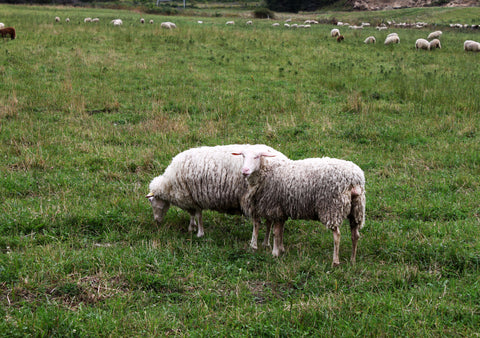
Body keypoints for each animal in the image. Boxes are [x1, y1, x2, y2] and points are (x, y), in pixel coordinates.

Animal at [146, 143, 288, 248]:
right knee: (269, 221)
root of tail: (284, 160)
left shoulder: (194, 197)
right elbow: (192, 214)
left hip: (253, 199)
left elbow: (198, 215)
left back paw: (255, 244)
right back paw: (266, 243)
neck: (169, 183)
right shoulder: (191, 198)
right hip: (267, 200)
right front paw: (191, 227)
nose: (157, 221)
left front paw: (199, 233)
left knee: (257, 222)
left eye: (153, 202)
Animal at [232, 151, 364, 266]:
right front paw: (281, 249)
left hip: (332, 208)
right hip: (357, 209)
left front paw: (275, 253)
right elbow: (280, 231)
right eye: (243, 156)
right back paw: (352, 260)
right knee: (355, 234)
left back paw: (335, 261)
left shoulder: (275, 208)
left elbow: (275, 232)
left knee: (337, 235)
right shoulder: (282, 210)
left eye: (257, 157)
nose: (245, 171)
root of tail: (354, 179)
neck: (267, 172)